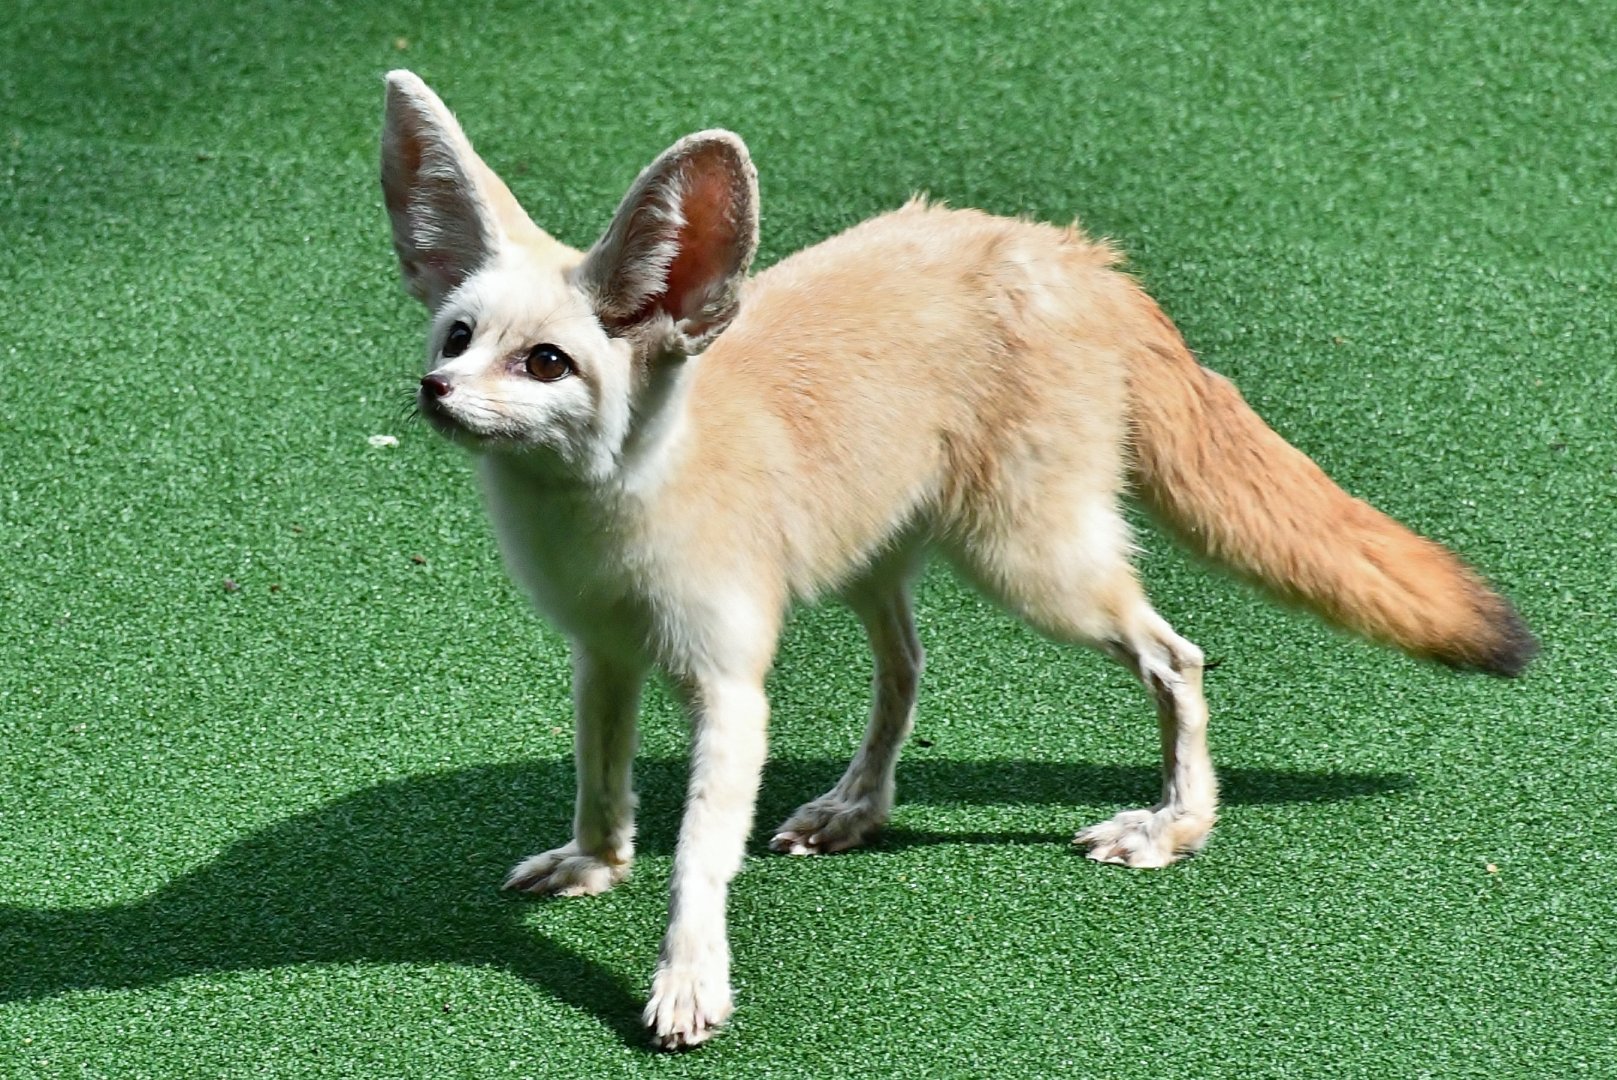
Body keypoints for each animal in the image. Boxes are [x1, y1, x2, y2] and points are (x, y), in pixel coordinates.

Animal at [379, 70, 1536, 1049]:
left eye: (546, 363)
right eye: (456, 337)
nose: (433, 393)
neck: (610, 512)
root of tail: (1074, 252)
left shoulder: (730, 683)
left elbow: (699, 860)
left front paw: (689, 982)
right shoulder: (603, 653)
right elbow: (599, 782)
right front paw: (595, 866)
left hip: (1037, 570)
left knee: (1177, 659)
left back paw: (1176, 827)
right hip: (878, 564)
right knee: (909, 671)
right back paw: (856, 808)